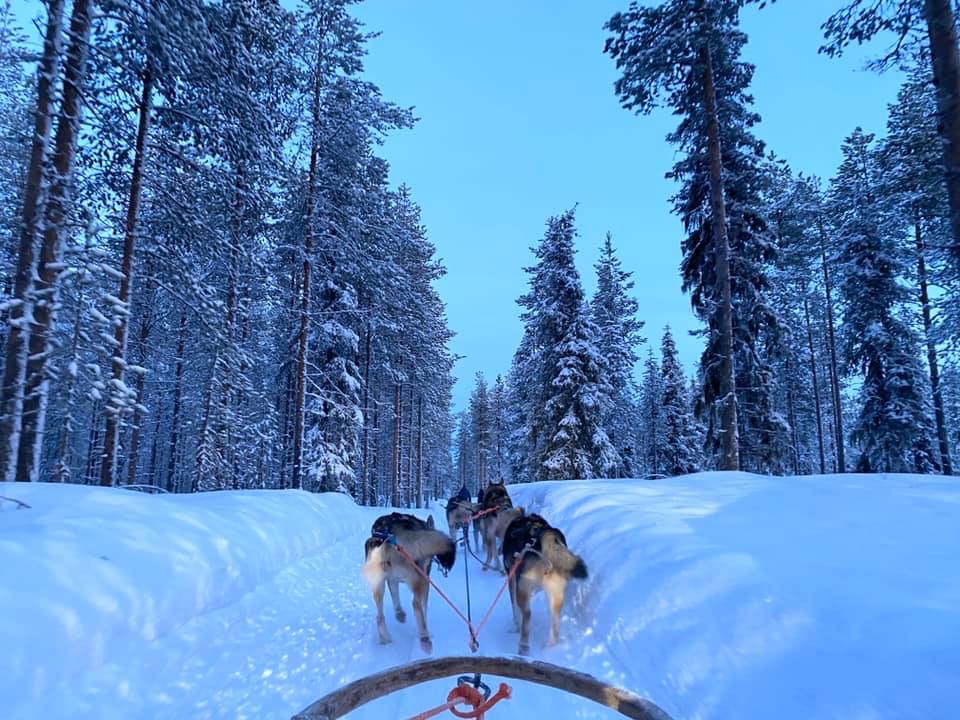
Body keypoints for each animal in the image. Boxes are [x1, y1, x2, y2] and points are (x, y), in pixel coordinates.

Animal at [362, 512, 456, 652]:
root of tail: (388, 535)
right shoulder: (425, 580)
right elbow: (424, 608)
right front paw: (428, 632)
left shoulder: (392, 580)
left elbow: (396, 599)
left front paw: (400, 614)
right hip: (419, 580)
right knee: (416, 604)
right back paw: (424, 639)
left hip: (378, 585)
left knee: (379, 617)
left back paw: (385, 639)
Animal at [502, 510, 584, 656]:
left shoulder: (512, 581)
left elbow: (515, 609)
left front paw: (515, 627)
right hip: (556, 595)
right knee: (555, 621)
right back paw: (550, 647)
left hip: (523, 589)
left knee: (527, 615)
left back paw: (523, 648)